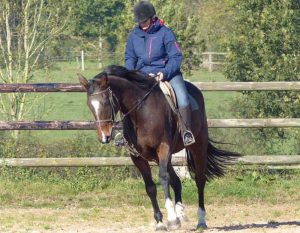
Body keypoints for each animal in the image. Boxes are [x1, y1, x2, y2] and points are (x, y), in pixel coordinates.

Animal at [78, 64, 240, 230]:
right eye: (89, 105)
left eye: (105, 102)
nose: (104, 137)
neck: (140, 112)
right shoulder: (138, 157)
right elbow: (150, 187)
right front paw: (161, 222)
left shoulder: (163, 148)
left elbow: (163, 178)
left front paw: (172, 219)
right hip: (161, 158)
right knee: (177, 182)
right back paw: (181, 214)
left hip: (197, 148)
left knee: (199, 181)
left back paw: (200, 220)